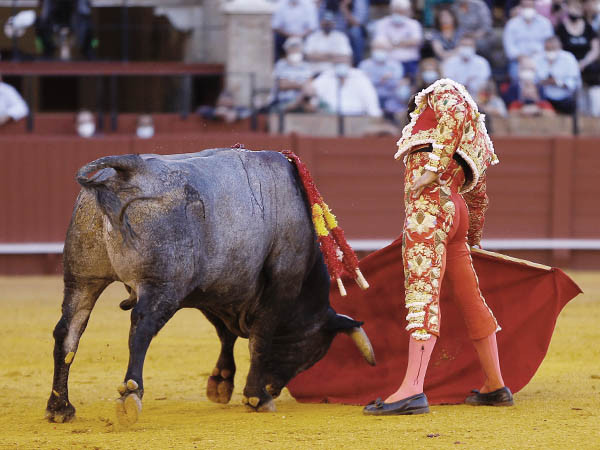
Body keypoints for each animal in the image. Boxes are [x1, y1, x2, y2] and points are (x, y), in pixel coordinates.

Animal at [45, 148, 375, 425]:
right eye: (312, 353)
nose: (274, 388)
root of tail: (128, 169)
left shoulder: (212, 291)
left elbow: (225, 334)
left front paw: (222, 383)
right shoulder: (280, 285)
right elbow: (259, 339)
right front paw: (257, 397)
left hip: (81, 279)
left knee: (68, 332)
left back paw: (60, 407)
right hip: (162, 287)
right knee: (140, 329)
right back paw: (130, 394)